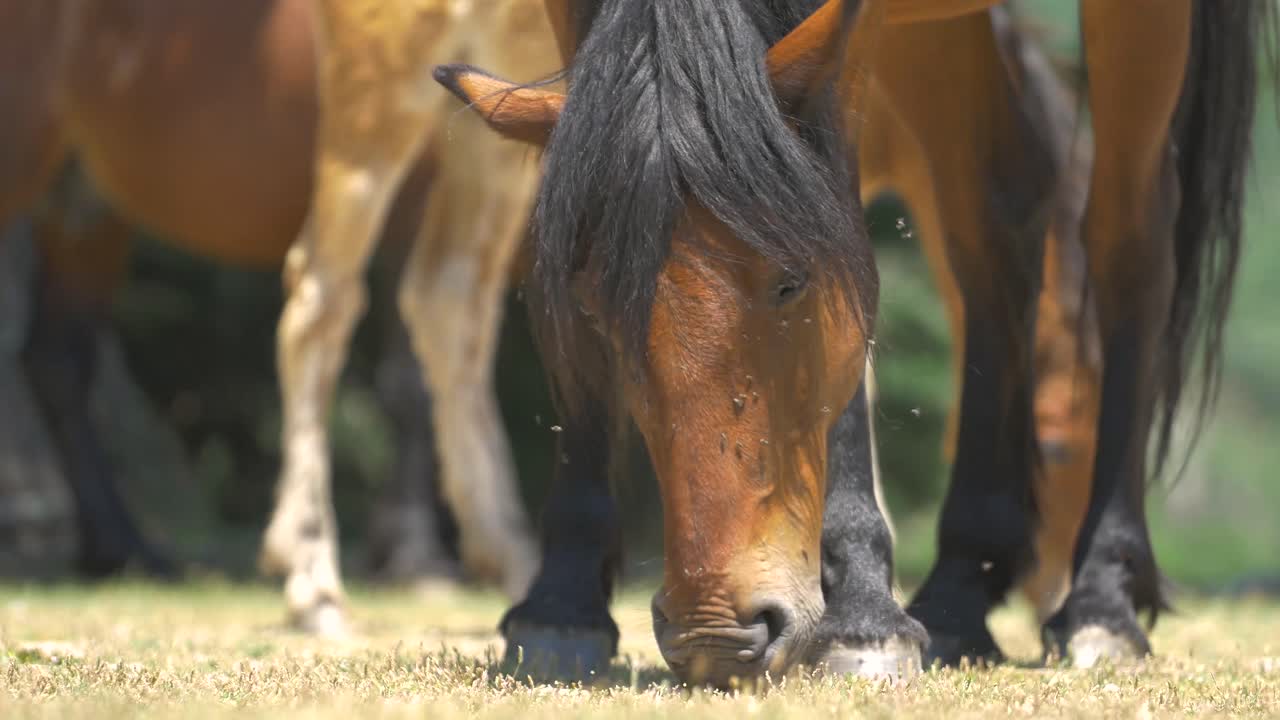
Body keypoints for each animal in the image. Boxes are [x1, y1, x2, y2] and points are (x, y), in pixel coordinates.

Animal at [0, 0, 555, 631]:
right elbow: (404, 376)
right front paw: (411, 555)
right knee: (322, 297)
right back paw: (310, 573)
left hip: (83, 199)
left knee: (59, 354)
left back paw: (126, 546)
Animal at [436, 0, 1272, 685]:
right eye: (595, 308)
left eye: (792, 283)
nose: (713, 636)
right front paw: (562, 602)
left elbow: (839, 223)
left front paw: (863, 615)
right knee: (994, 220)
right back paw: (962, 590)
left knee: (1128, 237)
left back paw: (1101, 600)